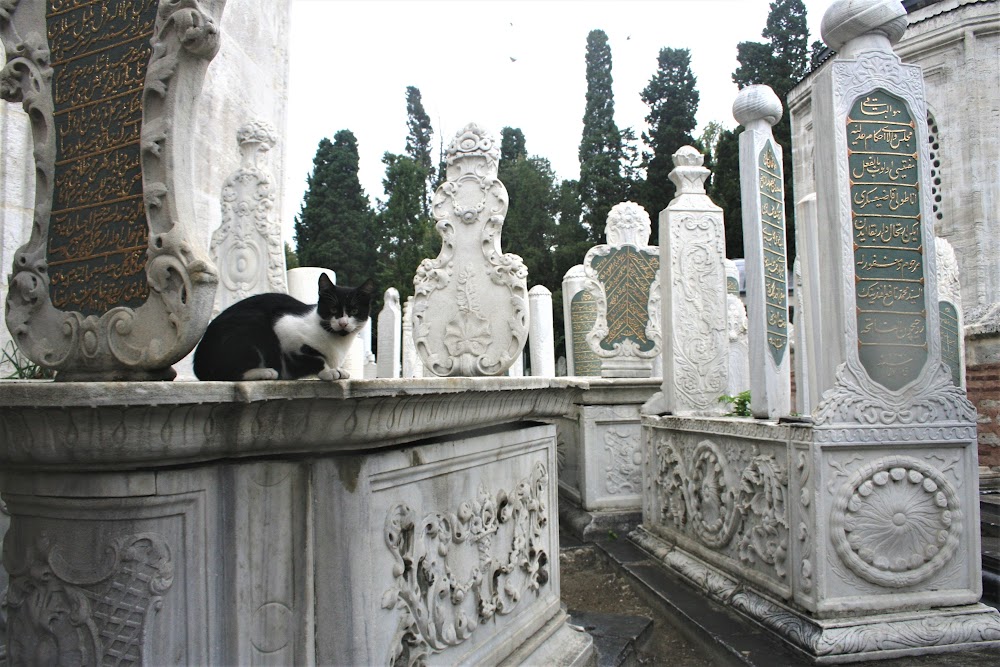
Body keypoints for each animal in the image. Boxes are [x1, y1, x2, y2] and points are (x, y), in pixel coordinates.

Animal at [193, 276, 374, 380]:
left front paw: (338, 369)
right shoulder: (283, 327)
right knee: (228, 374)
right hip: (253, 324)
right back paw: (266, 372)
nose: (343, 323)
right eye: (333, 310)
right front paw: (328, 371)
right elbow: (316, 358)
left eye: (354, 311)